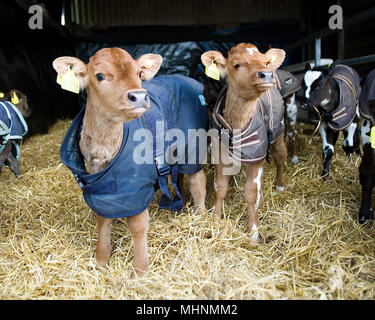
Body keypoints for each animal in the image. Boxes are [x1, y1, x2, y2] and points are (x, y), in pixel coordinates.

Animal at [203, 43, 288, 242]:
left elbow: (252, 193)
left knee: (280, 156)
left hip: (280, 132)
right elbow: (220, 188)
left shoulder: (257, 158)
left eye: (265, 61)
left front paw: (254, 232)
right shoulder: (220, 155)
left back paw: (280, 184)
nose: (266, 74)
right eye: (237, 64)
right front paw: (216, 219)